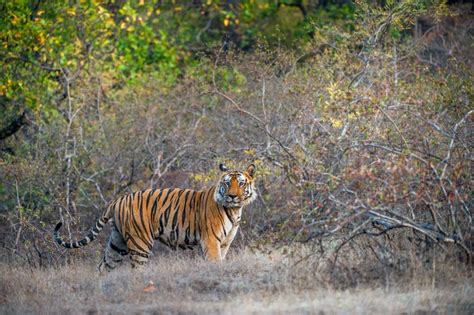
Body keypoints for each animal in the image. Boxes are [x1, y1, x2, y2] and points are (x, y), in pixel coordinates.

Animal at [52, 164, 256, 270]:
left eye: (241, 183)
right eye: (227, 183)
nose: (232, 196)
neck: (235, 210)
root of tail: (118, 200)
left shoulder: (225, 243)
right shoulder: (211, 240)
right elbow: (215, 262)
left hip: (117, 242)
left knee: (105, 265)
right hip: (140, 243)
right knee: (136, 268)